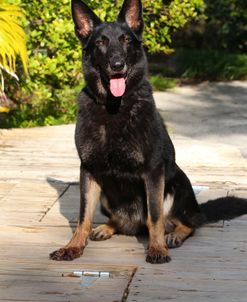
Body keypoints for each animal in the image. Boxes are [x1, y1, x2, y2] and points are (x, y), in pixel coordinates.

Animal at [50, 0, 247, 264]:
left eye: (125, 40)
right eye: (101, 42)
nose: (117, 65)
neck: (115, 107)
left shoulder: (153, 172)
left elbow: (154, 216)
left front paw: (157, 248)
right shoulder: (88, 171)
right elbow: (83, 217)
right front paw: (73, 246)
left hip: (175, 186)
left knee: (185, 222)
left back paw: (174, 236)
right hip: (105, 197)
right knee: (122, 222)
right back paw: (108, 227)